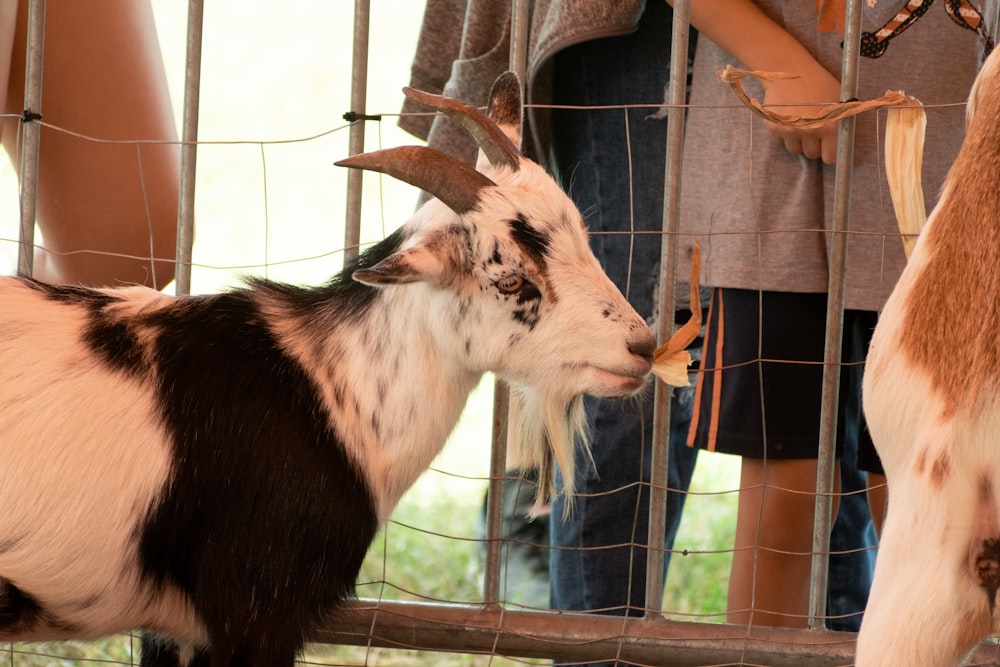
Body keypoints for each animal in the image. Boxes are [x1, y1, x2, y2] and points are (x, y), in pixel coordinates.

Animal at [0, 74, 656, 667]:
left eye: (583, 238)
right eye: (514, 280)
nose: (643, 347)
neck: (334, 395)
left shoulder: (171, 627)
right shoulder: (254, 609)